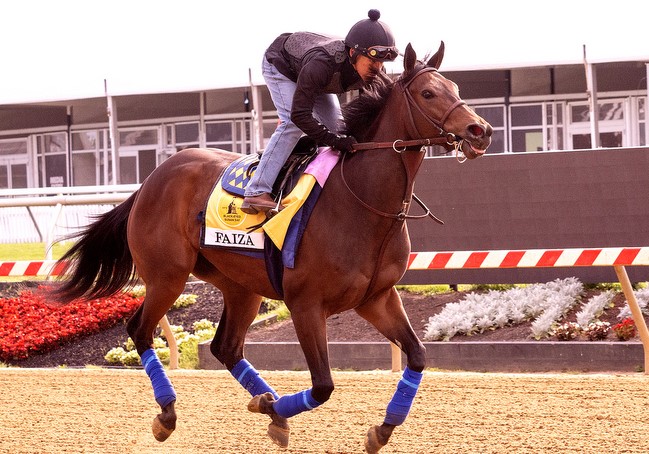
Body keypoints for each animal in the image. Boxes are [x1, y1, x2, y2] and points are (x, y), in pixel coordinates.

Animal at [52, 42, 492, 453]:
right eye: (428, 93)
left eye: (455, 88)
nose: (480, 131)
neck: (360, 200)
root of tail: (149, 181)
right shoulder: (305, 304)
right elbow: (324, 385)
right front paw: (272, 409)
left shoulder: (377, 297)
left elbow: (416, 355)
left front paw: (380, 429)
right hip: (167, 276)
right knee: (140, 330)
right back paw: (168, 414)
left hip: (240, 286)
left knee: (225, 346)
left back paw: (260, 400)